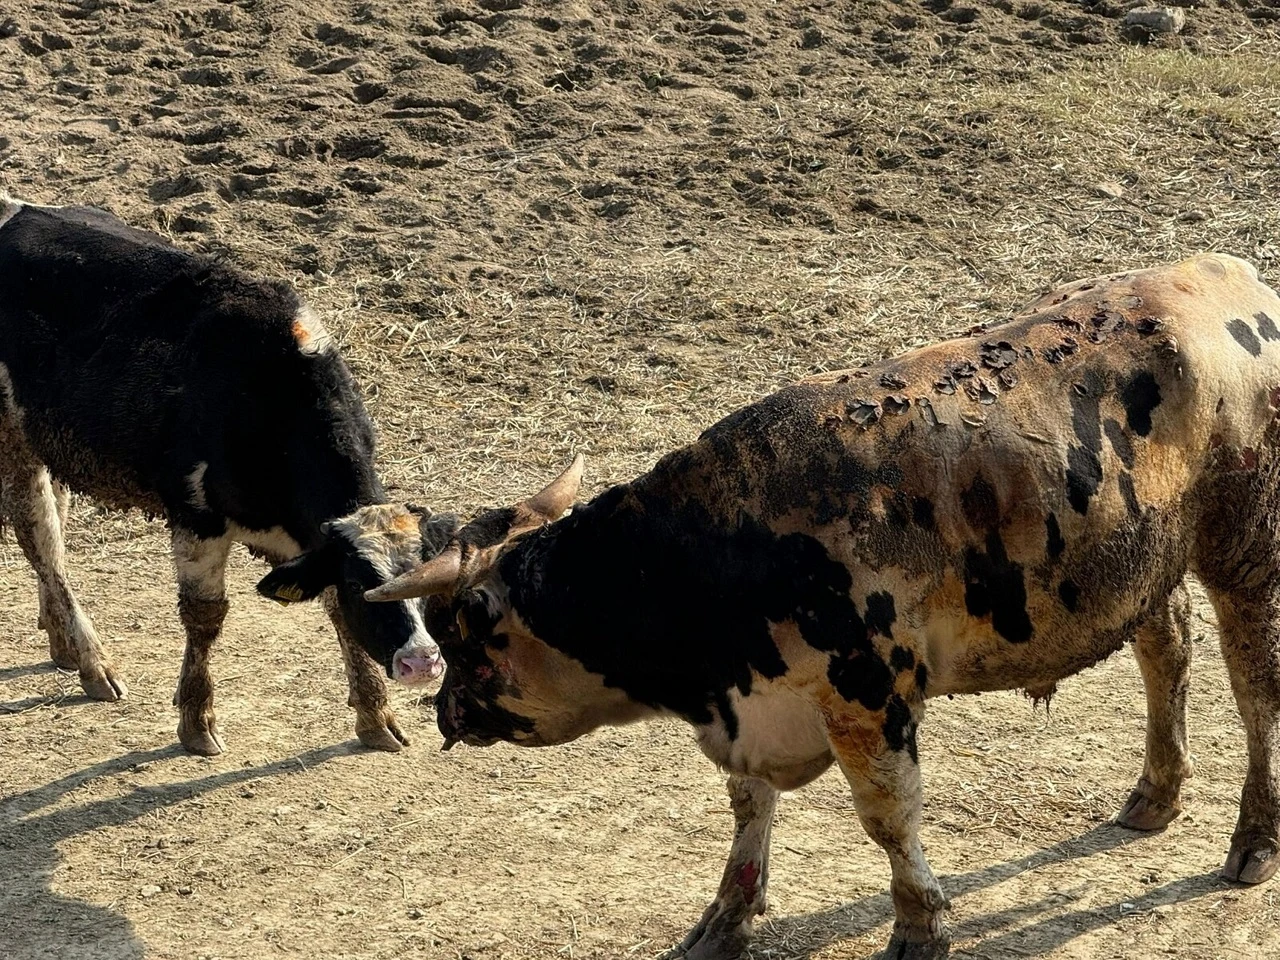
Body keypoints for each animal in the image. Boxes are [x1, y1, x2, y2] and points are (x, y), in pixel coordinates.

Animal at [0, 195, 450, 757]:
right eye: (359, 582)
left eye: (428, 576)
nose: (422, 662)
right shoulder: (197, 516)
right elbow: (204, 615)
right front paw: (197, 719)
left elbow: (330, 610)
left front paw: (374, 714)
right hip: (13, 440)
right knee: (41, 541)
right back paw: (92, 662)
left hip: (47, 442)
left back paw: (62, 644)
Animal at [368, 256, 1280, 960]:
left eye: (459, 630)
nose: (442, 709)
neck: (712, 545)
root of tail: (1229, 277)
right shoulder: (747, 703)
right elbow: (749, 809)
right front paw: (725, 921)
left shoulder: (867, 700)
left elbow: (888, 820)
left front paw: (920, 927)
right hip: (1142, 564)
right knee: (1168, 649)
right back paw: (1156, 793)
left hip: (1245, 552)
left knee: (1254, 693)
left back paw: (1253, 838)